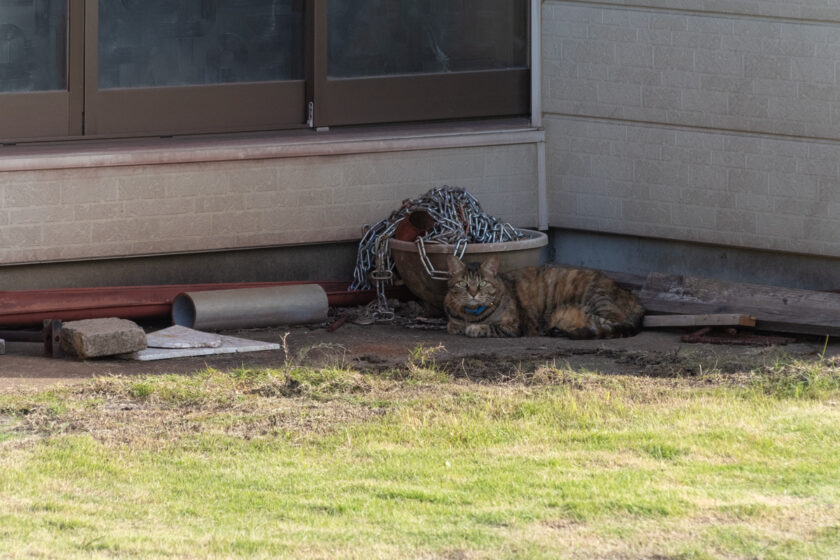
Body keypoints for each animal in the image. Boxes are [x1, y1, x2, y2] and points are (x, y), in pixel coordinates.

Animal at [446, 256, 644, 340]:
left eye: (483, 283)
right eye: (462, 283)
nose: (473, 293)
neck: (473, 314)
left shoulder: (513, 327)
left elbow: (487, 327)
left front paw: (474, 329)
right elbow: (452, 325)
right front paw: (460, 326)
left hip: (595, 302)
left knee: (611, 325)